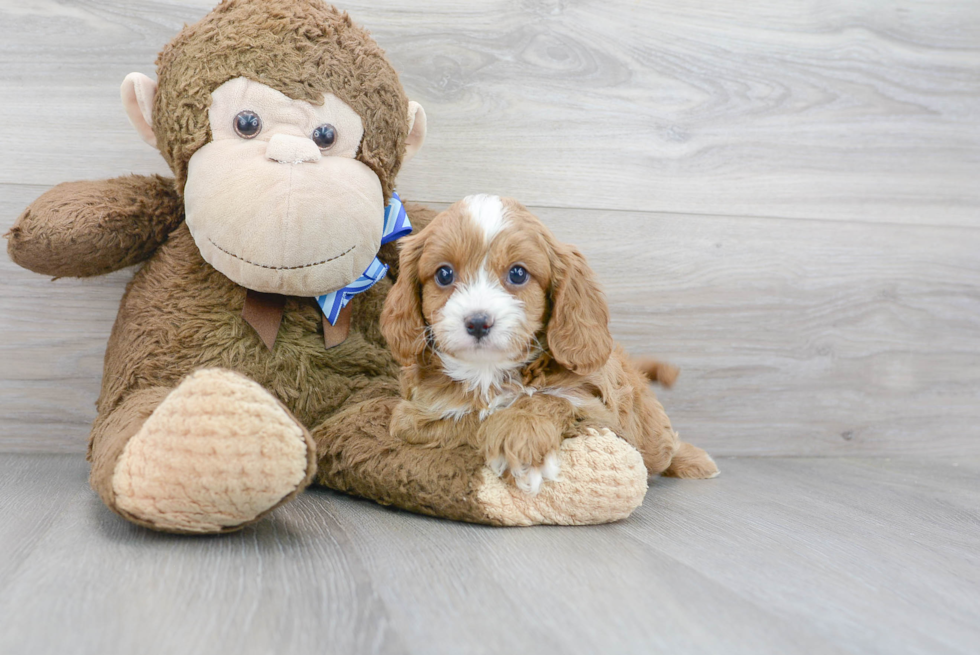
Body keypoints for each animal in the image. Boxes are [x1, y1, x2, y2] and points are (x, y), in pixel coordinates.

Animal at [382, 195, 720, 492]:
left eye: (518, 273)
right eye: (444, 274)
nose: (478, 322)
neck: (489, 372)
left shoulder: (601, 412)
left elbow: (549, 399)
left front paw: (520, 436)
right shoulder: (411, 417)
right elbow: (467, 420)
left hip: (650, 431)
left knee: (663, 447)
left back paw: (694, 461)